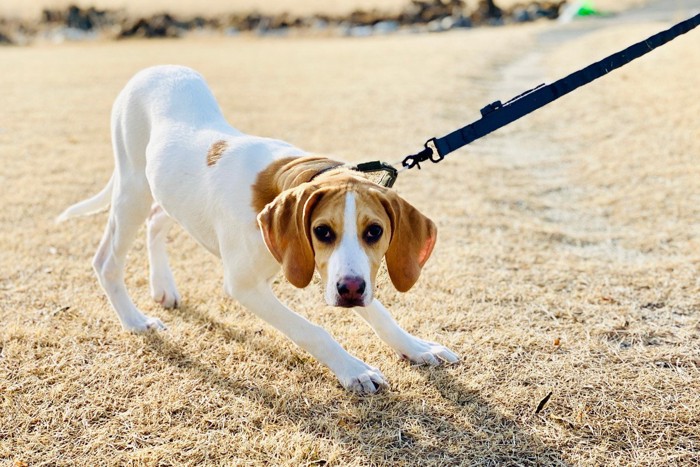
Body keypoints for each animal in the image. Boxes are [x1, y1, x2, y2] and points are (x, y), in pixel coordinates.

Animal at [57, 65, 456, 394]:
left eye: (374, 232)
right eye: (323, 231)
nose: (351, 291)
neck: (285, 179)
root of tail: (151, 70)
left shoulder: (328, 268)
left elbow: (380, 313)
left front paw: (415, 347)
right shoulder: (246, 286)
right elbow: (313, 330)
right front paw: (354, 370)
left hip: (168, 192)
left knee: (157, 220)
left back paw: (163, 288)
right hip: (133, 189)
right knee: (107, 260)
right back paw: (136, 321)